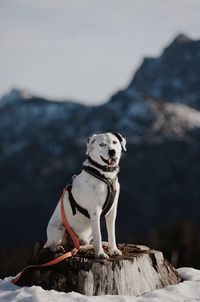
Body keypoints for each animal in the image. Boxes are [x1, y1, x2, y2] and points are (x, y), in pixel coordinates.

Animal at [45, 132, 126, 260]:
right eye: (102, 144)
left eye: (115, 142)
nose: (112, 151)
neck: (105, 175)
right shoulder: (95, 211)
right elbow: (98, 234)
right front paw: (100, 254)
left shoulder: (113, 211)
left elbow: (112, 234)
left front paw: (113, 249)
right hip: (58, 228)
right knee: (50, 246)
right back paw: (58, 248)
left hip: (86, 235)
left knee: (82, 245)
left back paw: (95, 245)